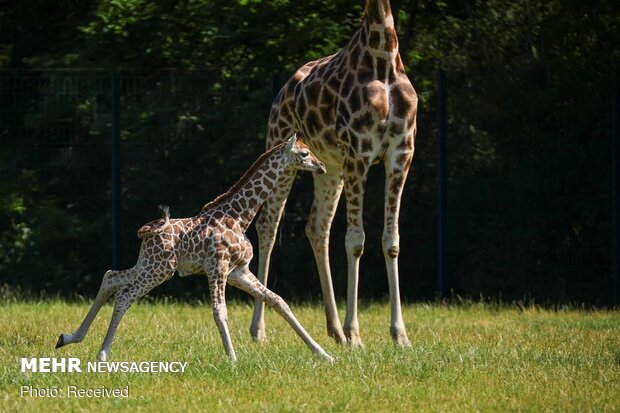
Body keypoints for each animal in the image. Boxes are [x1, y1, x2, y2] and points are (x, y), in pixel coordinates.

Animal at [57, 134, 334, 360]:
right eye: (304, 153)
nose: (321, 166)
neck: (240, 217)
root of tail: (146, 232)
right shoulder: (217, 267)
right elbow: (220, 310)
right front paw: (233, 360)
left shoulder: (239, 271)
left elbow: (278, 301)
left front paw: (323, 354)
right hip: (160, 269)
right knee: (125, 294)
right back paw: (102, 354)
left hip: (149, 264)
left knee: (111, 277)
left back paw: (69, 338)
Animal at [251, 0, 416, 348]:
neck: (383, 57)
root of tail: (283, 89)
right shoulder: (360, 153)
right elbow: (355, 241)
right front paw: (356, 334)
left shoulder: (401, 153)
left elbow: (391, 240)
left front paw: (400, 335)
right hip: (281, 148)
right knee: (268, 225)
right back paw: (259, 330)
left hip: (329, 168)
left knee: (316, 227)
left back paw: (335, 330)